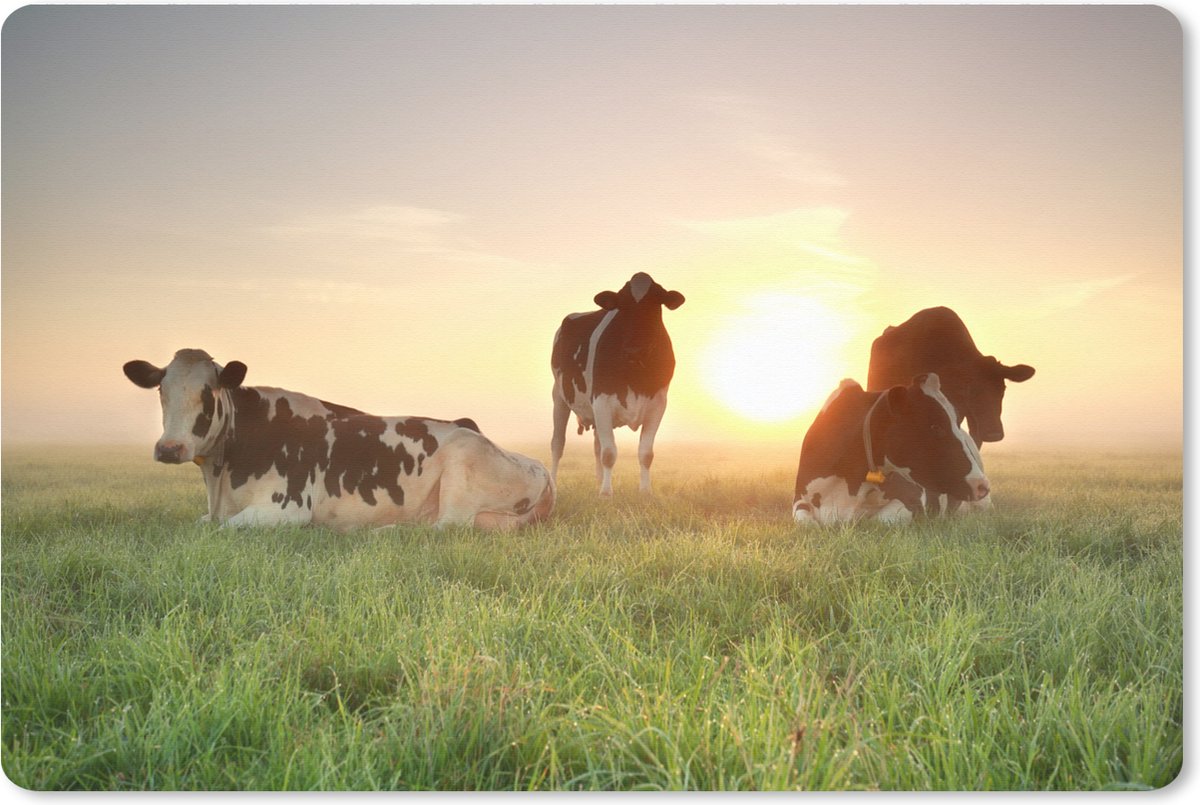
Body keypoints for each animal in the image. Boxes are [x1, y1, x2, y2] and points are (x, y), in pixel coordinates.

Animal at [123, 349, 554, 531]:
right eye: (161, 389)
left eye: (208, 392)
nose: (169, 448)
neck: (221, 478)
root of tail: (543, 470)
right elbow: (203, 523)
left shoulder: (286, 508)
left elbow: (218, 529)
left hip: (462, 467)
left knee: (446, 527)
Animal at [550, 272, 685, 496]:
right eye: (621, 305)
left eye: (655, 303)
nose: (634, 351)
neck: (635, 377)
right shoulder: (601, 400)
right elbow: (609, 453)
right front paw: (606, 493)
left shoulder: (658, 404)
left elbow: (646, 453)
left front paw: (645, 492)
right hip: (559, 397)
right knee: (557, 445)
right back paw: (552, 484)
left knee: (596, 444)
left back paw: (598, 482)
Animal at [793, 373, 990, 525]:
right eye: (935, 426)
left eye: (956, 421)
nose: (982, 485)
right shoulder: (799, 499)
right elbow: (805, 521)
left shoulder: (913, 500)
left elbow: (877, 521)